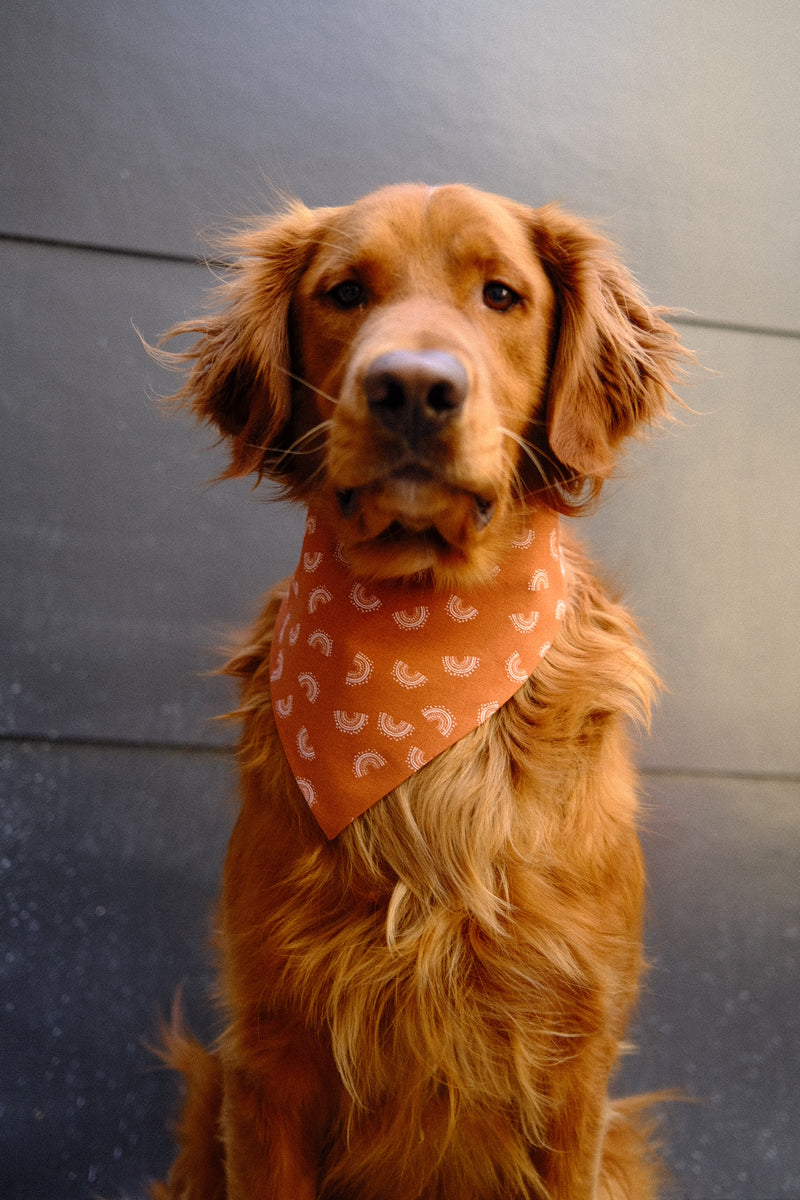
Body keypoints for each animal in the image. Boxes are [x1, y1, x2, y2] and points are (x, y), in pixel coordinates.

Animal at [149, 180, 690, 1200]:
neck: (423, 658)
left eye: (502, 295)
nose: (410, 387)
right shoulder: (268, 1056)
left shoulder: (577, 1060)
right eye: (344, 293)